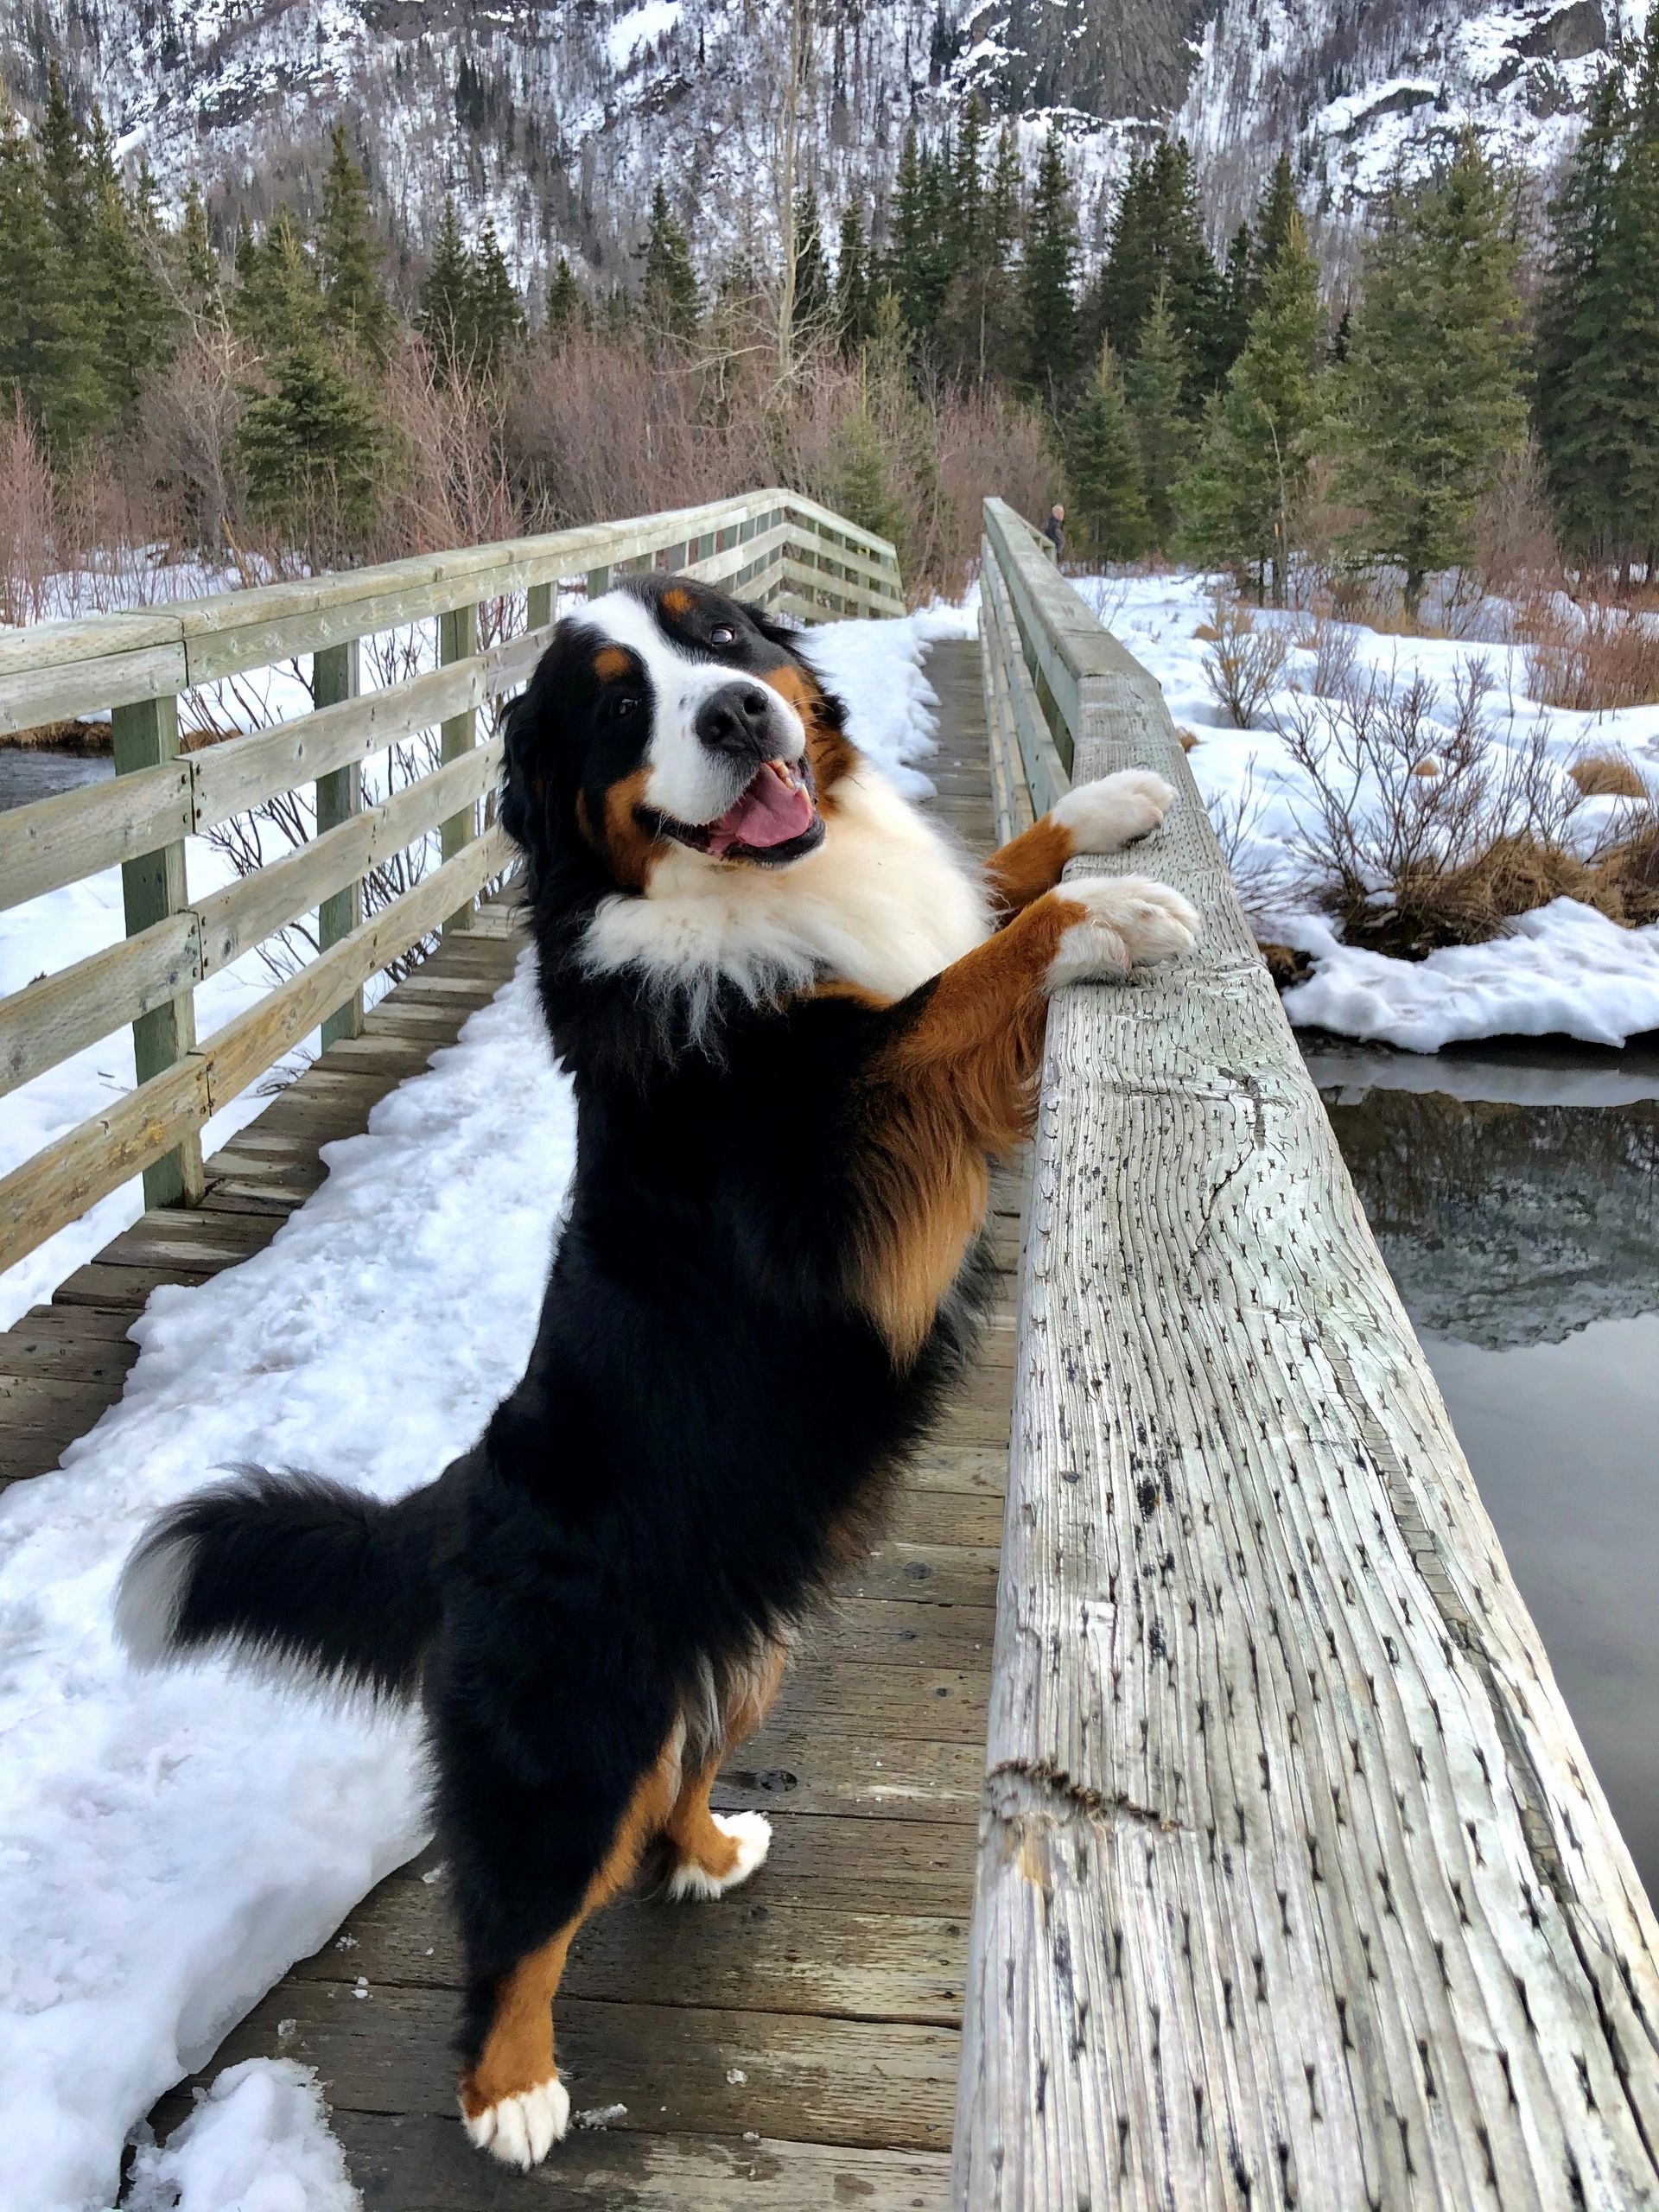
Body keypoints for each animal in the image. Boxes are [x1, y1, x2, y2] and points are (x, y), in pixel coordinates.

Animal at [119, 575, 1211, 2177]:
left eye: (728, 638)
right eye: (623, 706)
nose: (742, 716)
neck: (726, 904)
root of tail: (460, 1506)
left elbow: (968, 901)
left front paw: (1107, 805)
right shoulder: (836, 1182)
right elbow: (946, 996)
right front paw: (1105, 915)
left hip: (745, 1654)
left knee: (675, 1777)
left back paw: (711, 1848)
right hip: (574, 1726)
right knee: (525, 1908)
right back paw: (510, 2094)